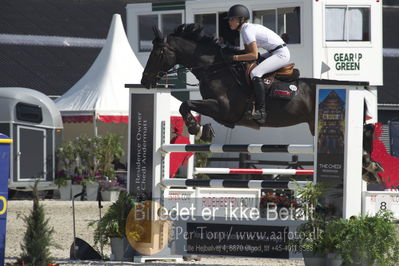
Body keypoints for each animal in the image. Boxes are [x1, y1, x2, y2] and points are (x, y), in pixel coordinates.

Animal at [142, 23, 382, 184]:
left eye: (158, 52)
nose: (145, 82)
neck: (215, 68)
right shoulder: (223, 111)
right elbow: (188, 107)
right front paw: (203, 129)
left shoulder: (225, 109)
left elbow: (186, 105)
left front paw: (197, 128)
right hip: (316, 126)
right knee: (366, 131)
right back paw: (368, 168)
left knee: (365, 132)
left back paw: (369, 164)